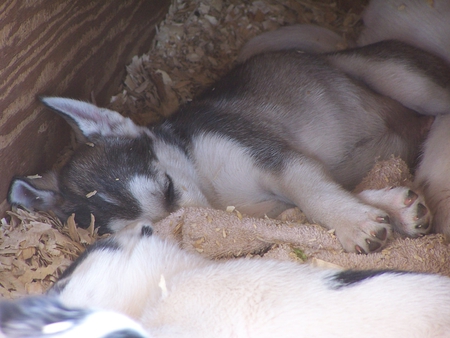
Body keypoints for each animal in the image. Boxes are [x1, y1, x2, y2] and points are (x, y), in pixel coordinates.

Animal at [6, 3, 450, 254]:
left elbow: (313, 193)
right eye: (153, 229)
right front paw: (389, 205)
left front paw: (354, 222)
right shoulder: (266, 211)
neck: (210, 184)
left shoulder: (275, 159)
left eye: (168, 189)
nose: (195, 219)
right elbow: (309, 210)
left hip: (396, 75)